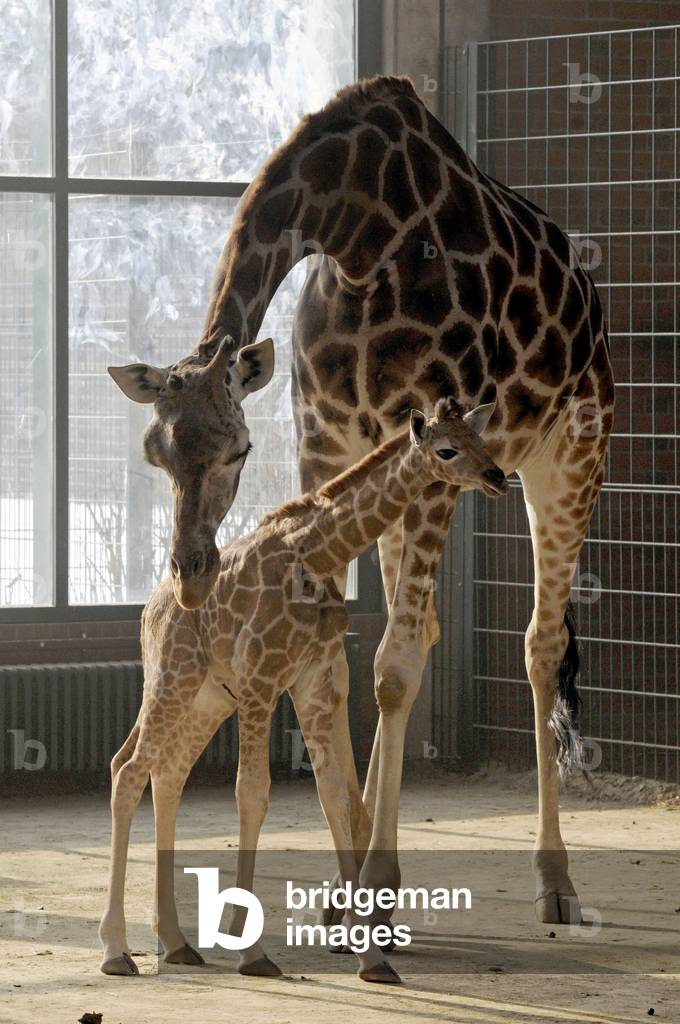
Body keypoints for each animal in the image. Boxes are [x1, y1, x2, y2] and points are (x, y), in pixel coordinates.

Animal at [98, 384, 507, 983]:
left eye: (483, 440)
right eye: (448, 450)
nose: (498, 476)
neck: (318, 552)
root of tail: (151, 610)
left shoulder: (310, 681)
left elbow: (335, 798)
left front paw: (371, 956)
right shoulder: (262, 679)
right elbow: (252, 793)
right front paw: (252, 951)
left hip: (206, 698)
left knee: (165, 774)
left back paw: (175, 943)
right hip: (174, 678)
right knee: (128, 770)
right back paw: (115, 950)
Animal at [109, 75, 614, 929]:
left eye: (239, 451)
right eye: (155, 452)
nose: (192, 575)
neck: (356, 234)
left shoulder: (440, 444)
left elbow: (394, 670)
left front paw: (371, 887)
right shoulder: (330, 439)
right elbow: (342, 670)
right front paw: (351, 885)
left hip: (573, 452)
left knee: (539, 645)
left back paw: (556, 880)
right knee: (429, 628)